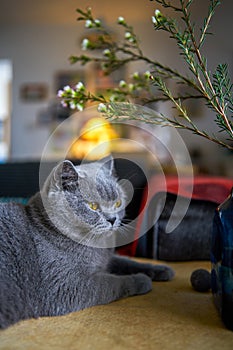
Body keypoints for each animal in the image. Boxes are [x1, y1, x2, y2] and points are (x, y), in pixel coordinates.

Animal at [0, 157, 173, 330]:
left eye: (117, 203)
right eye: (93, 206)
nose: (112, 219)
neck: (95, 245)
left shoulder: (106, 260)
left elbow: (126, 262)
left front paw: (161, 269)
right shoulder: (64, 287)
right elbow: (110, 283)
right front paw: (141, 280)